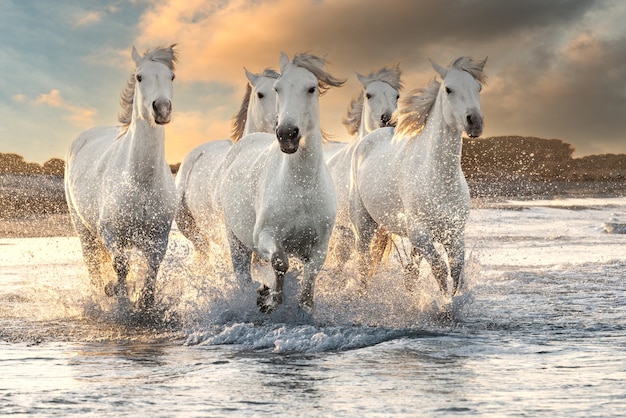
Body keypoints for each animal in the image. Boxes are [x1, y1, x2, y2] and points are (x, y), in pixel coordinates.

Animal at [65, 45, 177, 310]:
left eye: (171, 77)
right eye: (139, 77)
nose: (162, 109)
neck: (141, 182)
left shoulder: (159, 237)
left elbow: (151, 270)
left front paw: (145, 303)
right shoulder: (111, 233)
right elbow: (121, 267)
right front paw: (116, 295)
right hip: (84, 230)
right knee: (93, 266)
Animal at [217, 53, 344, 314]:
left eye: (311, 88)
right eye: (278, 88)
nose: (287, 134)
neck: (301, 187)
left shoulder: (320, 246)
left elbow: (309, 278)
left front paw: (304, 306)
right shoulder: (264, 236)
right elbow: (279, 262)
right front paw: (269, 298)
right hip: (236, 241)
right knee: (242, 275)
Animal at [348, 57, 486, 296]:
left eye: (478, 88)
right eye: (449, 89)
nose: (474, 122)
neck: (438, 177)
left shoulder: (454, 234)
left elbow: (455, 271)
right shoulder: (420, 233)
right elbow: (440, 269)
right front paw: (443, 303)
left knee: (408, 272)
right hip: (363, 225)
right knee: (363, 264)